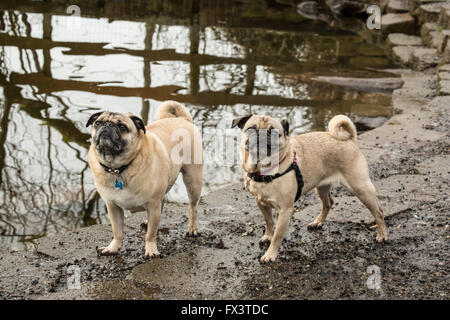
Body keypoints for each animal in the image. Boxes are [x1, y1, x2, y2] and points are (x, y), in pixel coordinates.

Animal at [87, 101, 203, 258]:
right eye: (98, 123)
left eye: (122, 126)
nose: (108, 125)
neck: (118, 168)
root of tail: (183, 119)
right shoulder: (113, 207)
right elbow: (117, 231)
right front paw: (113, 247)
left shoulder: (153, 204)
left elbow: (151, 234)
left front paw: (151, 249)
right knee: (163, 202)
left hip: (193, 180)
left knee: (193, 207)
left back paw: (193, 228)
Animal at [232, 115, 386, 262]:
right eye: (251, 129)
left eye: (274, 132)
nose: (262, 135)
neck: (263, 170)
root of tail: (350, 140)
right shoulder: (261, 202)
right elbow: (269, 222)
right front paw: (267, 236)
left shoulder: (285, 211)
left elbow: (277, 236)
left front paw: (270, 254)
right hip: (322, 187)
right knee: (328, 203)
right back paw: (318, 222)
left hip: (360, 187)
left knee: (378, 212)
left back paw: (382, 235)